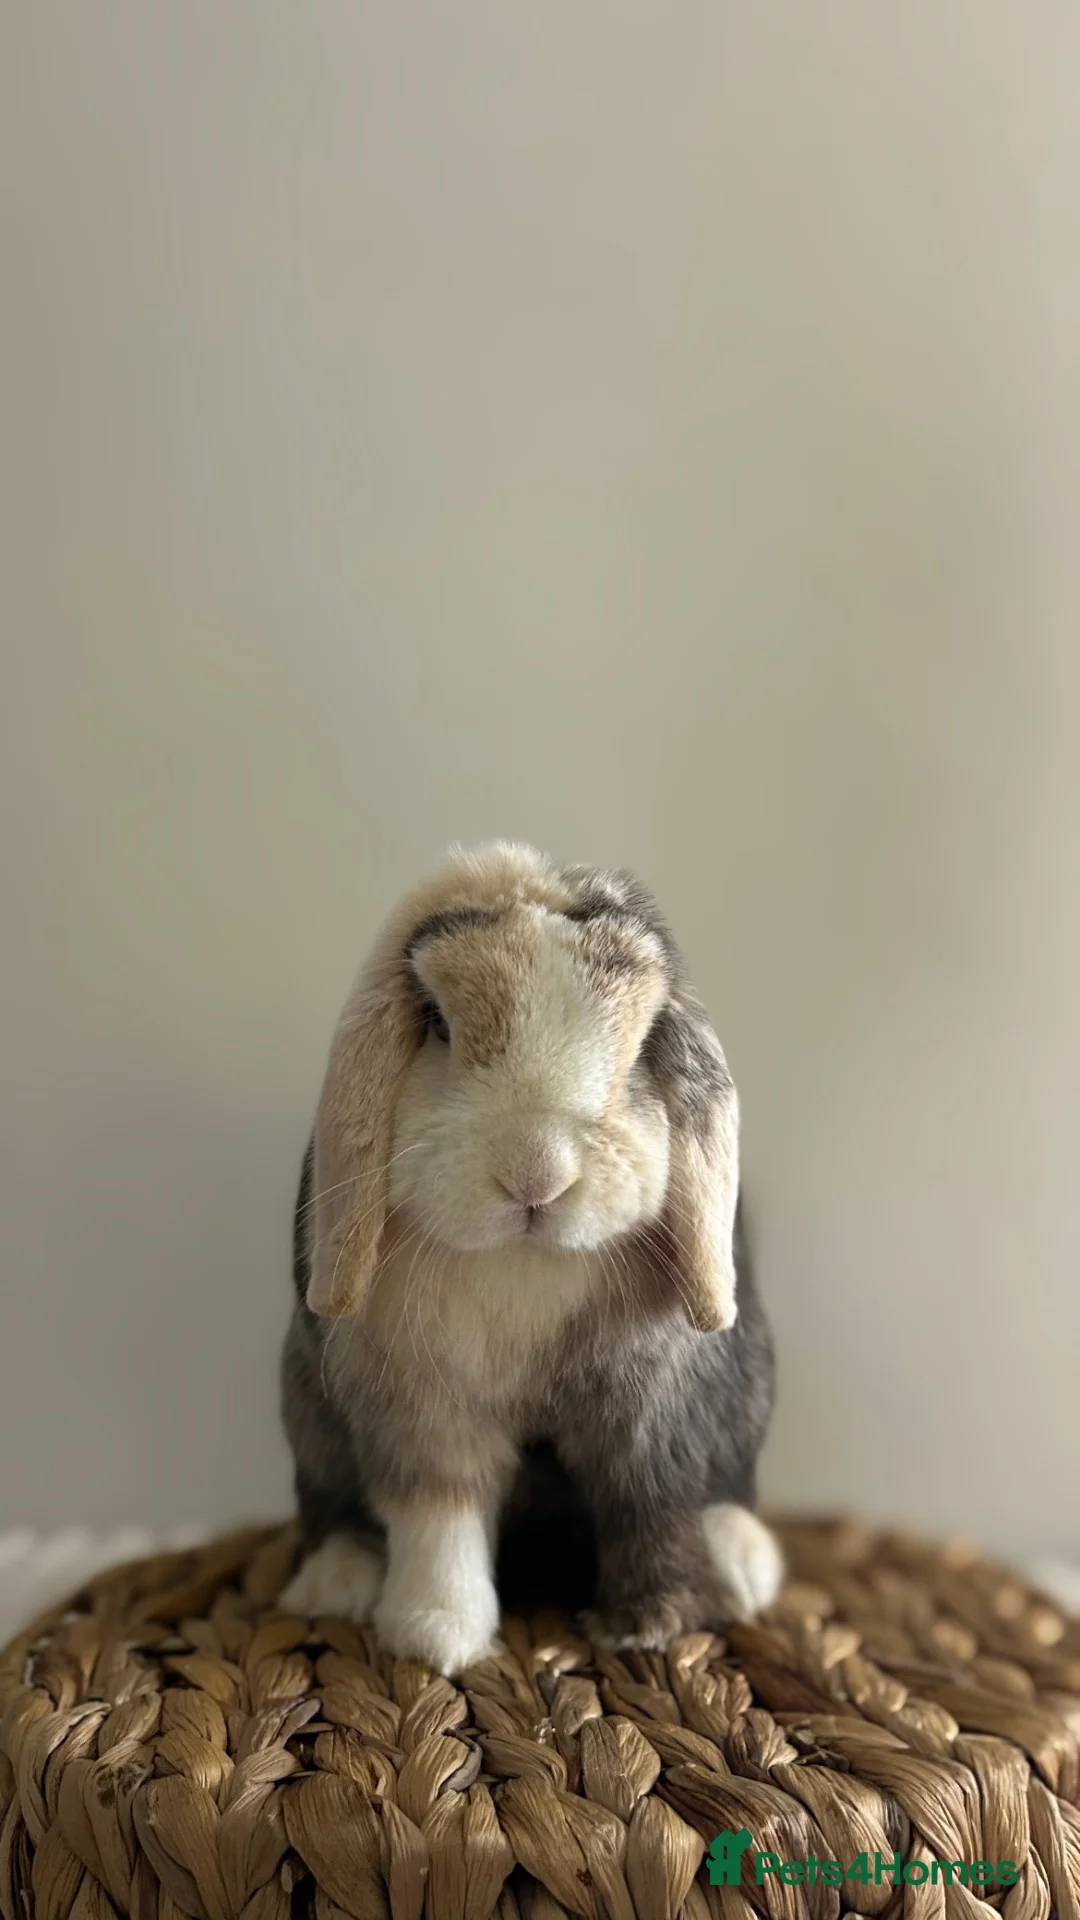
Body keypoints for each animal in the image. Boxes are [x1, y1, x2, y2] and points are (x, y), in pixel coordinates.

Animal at [279, 841, 780, 1675]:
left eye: (642, 1044)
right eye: (436, 1023)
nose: (536, 1174)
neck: (526, 1264)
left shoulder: (654, 1413)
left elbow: (651, 1504)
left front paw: (653, 1626)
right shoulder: (423, 1406)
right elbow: (438, 1516)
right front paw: (437, 1635)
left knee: (726, 1487)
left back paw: (745, 1564)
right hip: (307, 1411)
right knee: (332, 1503)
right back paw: (336, 1580)